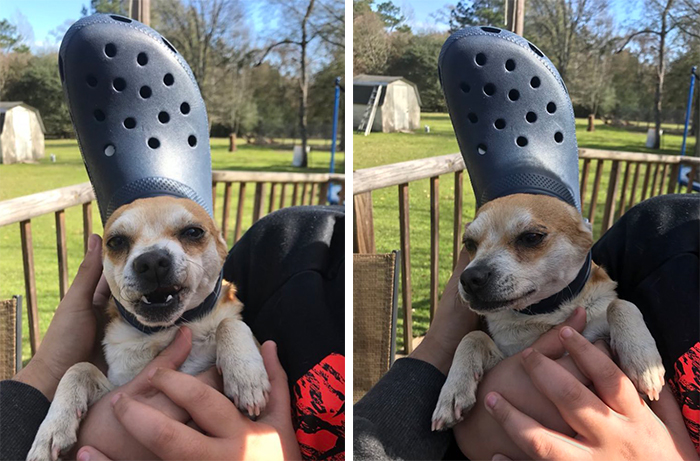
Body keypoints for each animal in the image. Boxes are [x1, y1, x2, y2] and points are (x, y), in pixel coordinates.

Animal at [27, 197, 270, 460]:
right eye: (116, 242)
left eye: (193, 232)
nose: (151, 260)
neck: (166, 330)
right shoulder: (116, 389)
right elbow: (79, 368)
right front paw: (51, 430)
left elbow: (229, 323)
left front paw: (245, 377)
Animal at [430, 192, 664, 430]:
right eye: (469, 243)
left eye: (531, 237)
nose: (470, 277)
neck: (543, 314)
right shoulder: (506, 358)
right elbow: (473, 336)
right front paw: (452, 391)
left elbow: (620, 304)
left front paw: (642, 361)